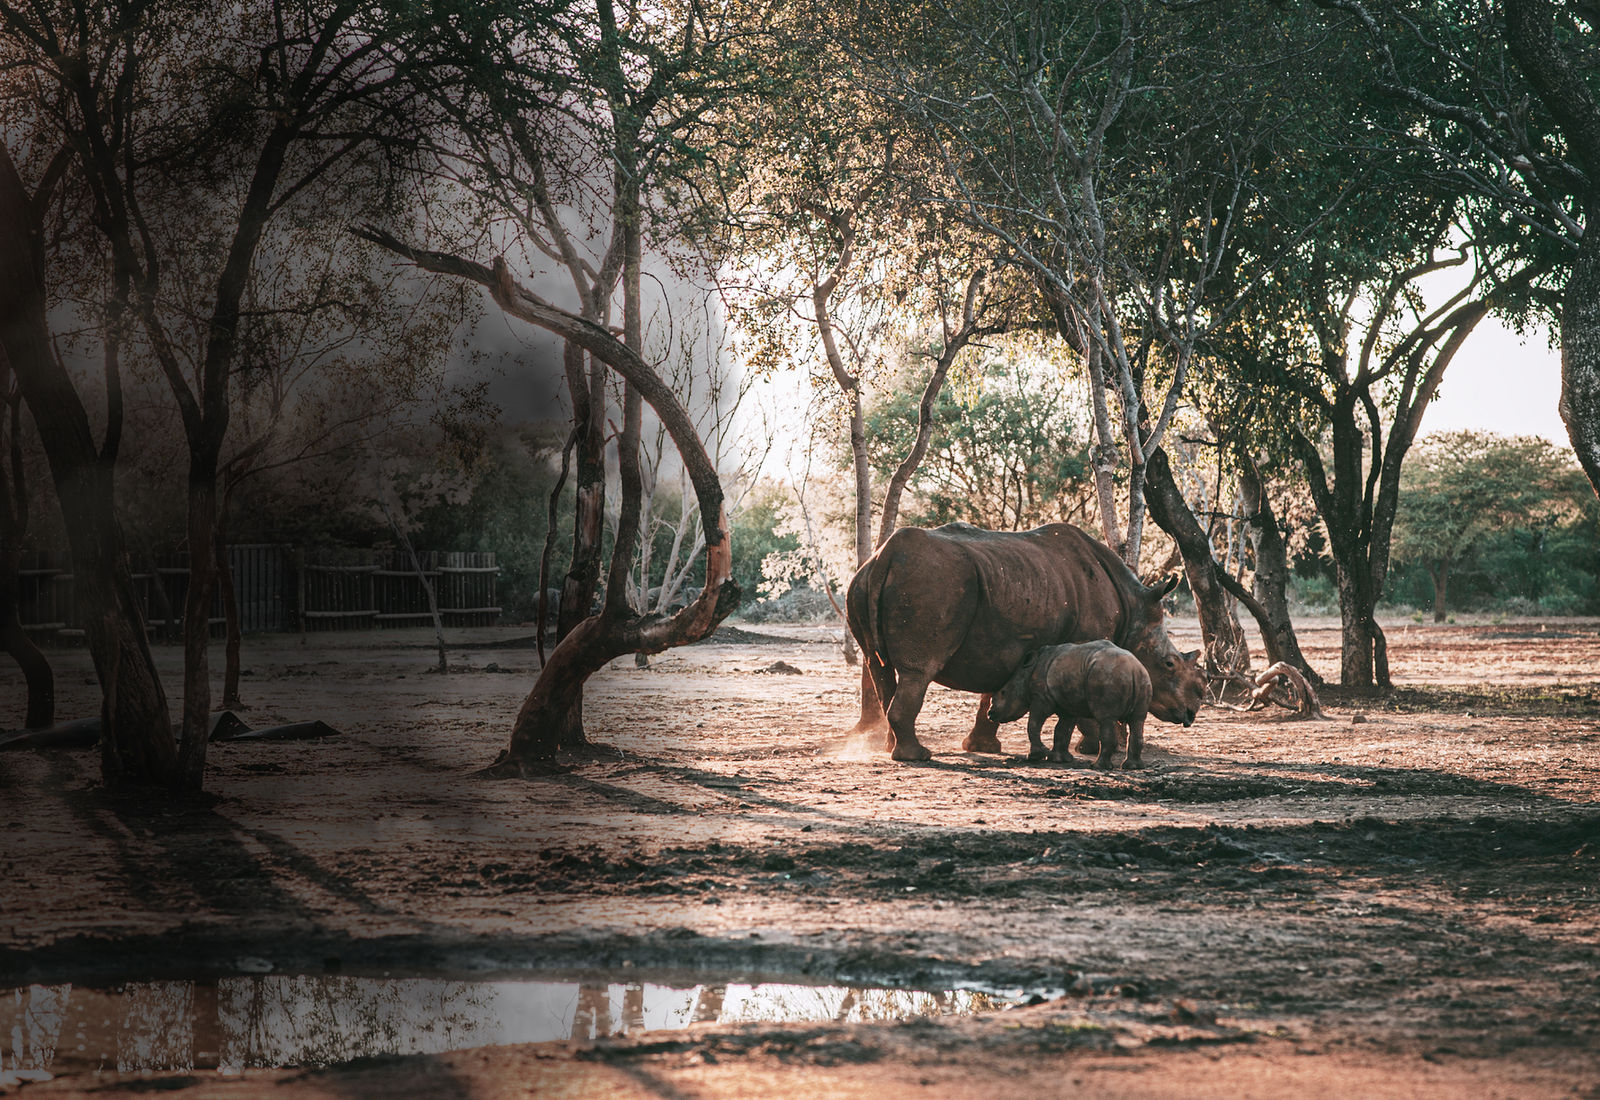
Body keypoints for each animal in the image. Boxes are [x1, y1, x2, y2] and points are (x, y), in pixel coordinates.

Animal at [987, 641, 1153, 769]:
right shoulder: (1068, 703)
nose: (990, 713)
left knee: (1106, 719)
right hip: (1143, 680)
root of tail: (1133, 669)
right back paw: (1133, 767)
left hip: (1107, 677)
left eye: (1003, 692)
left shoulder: (1042, 697)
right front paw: (1060, 759)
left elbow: (1034, 723)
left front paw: (1036, 756)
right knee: (1138, 720)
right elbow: (1062, 729)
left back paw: (1097, 767)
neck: (1026, 673)